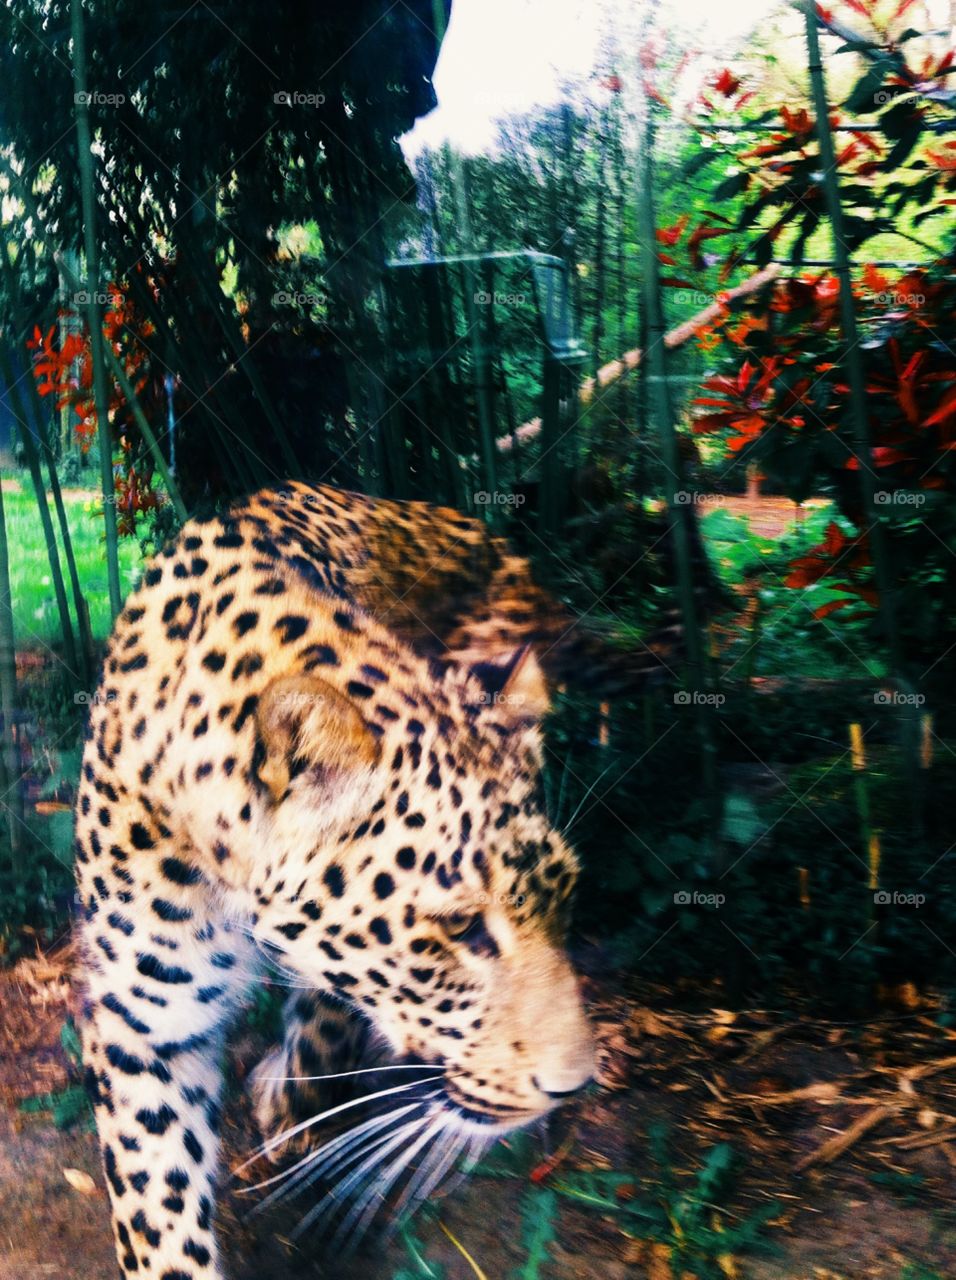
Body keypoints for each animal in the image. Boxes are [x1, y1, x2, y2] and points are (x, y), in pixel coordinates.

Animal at [75, 481, 600, 1280]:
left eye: (566, 897)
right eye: (463, 930)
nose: (572, 1090)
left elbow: (327, 1016)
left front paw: (298, 1106)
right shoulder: (142, 1020)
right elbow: (154, 1203)